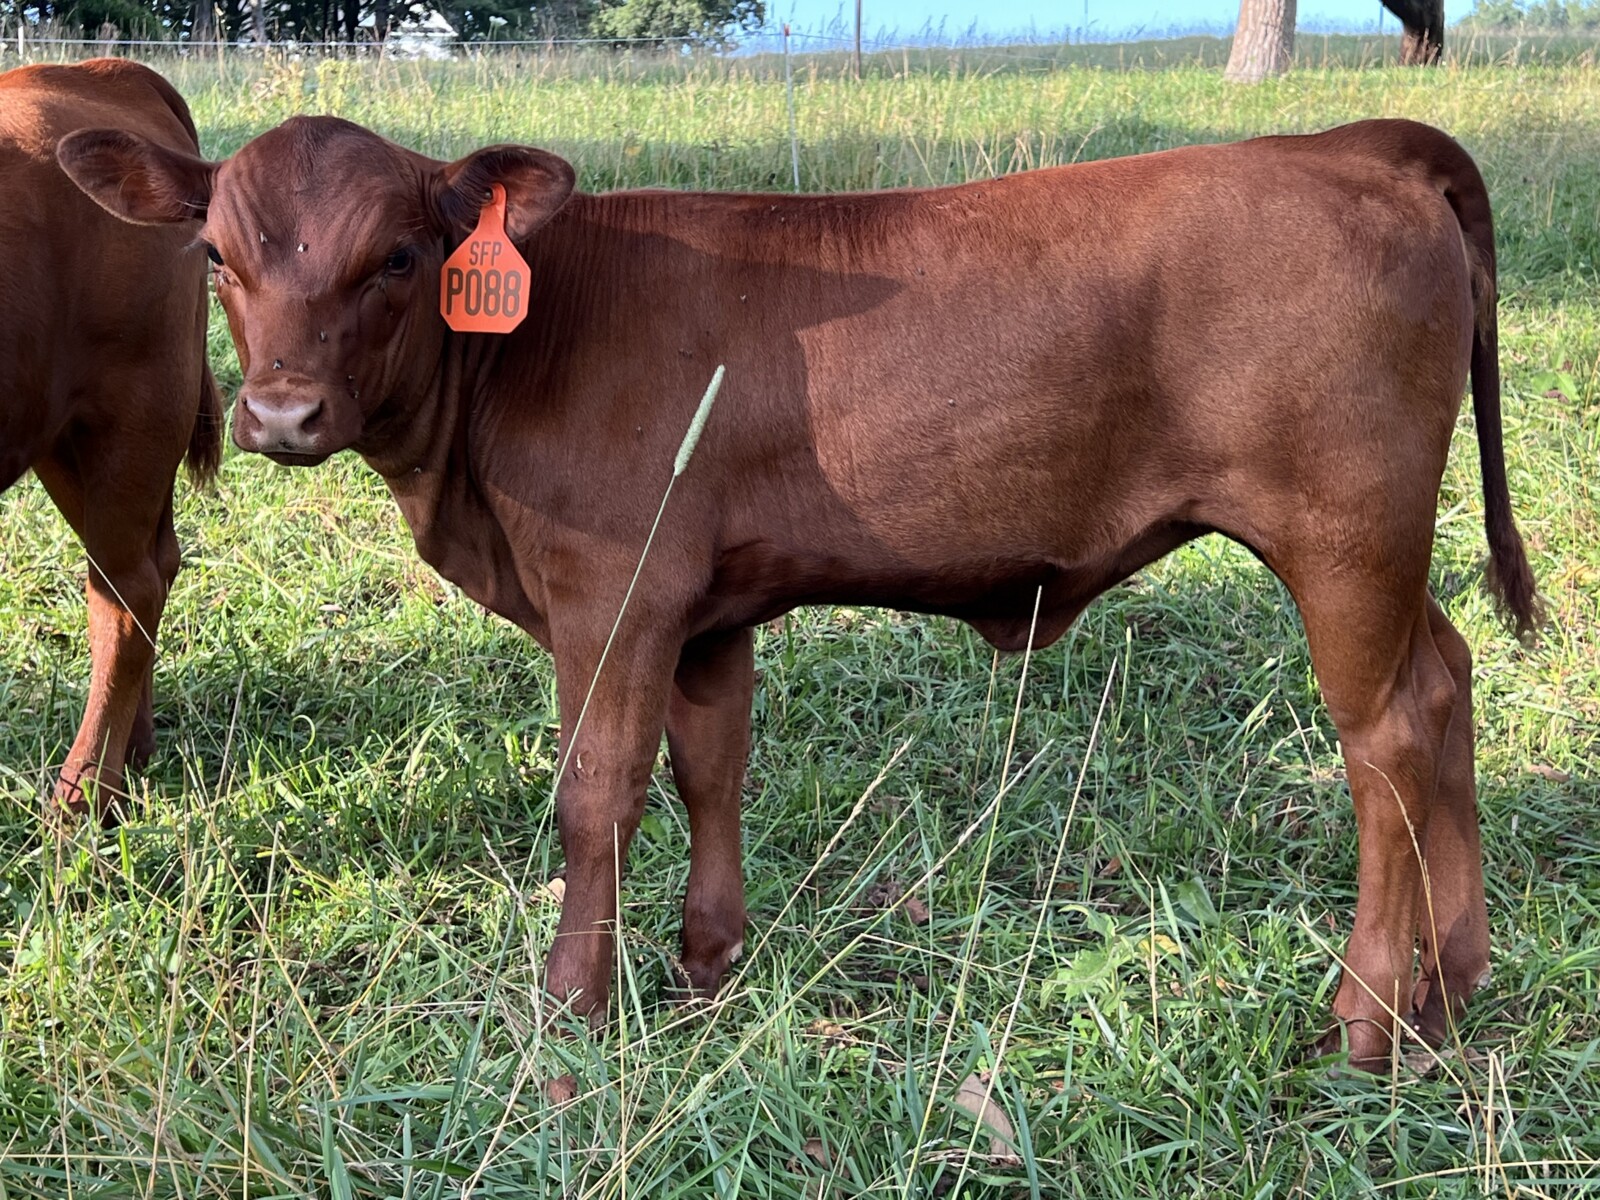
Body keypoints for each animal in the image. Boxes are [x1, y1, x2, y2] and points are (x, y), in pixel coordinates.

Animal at [1, 59, 219, 822]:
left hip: (138, 408)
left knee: (127, 592)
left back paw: (82, 795)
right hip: (58, 432)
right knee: (152, 566)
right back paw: (132, 749)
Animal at [57, 113, 1538, 1068]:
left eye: (400, 259)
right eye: (216, 259)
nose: (281, 415)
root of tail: (1347, 141)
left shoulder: (615, 592)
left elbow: (597, 792)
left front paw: (572, 1007)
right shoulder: (707, 611)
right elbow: (712, 767)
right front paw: (707, 969)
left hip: (1340, 534)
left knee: (1384, 742)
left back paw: (1367, 1022)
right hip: (1387, 548)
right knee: (1448, 683)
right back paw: (1459, 986)